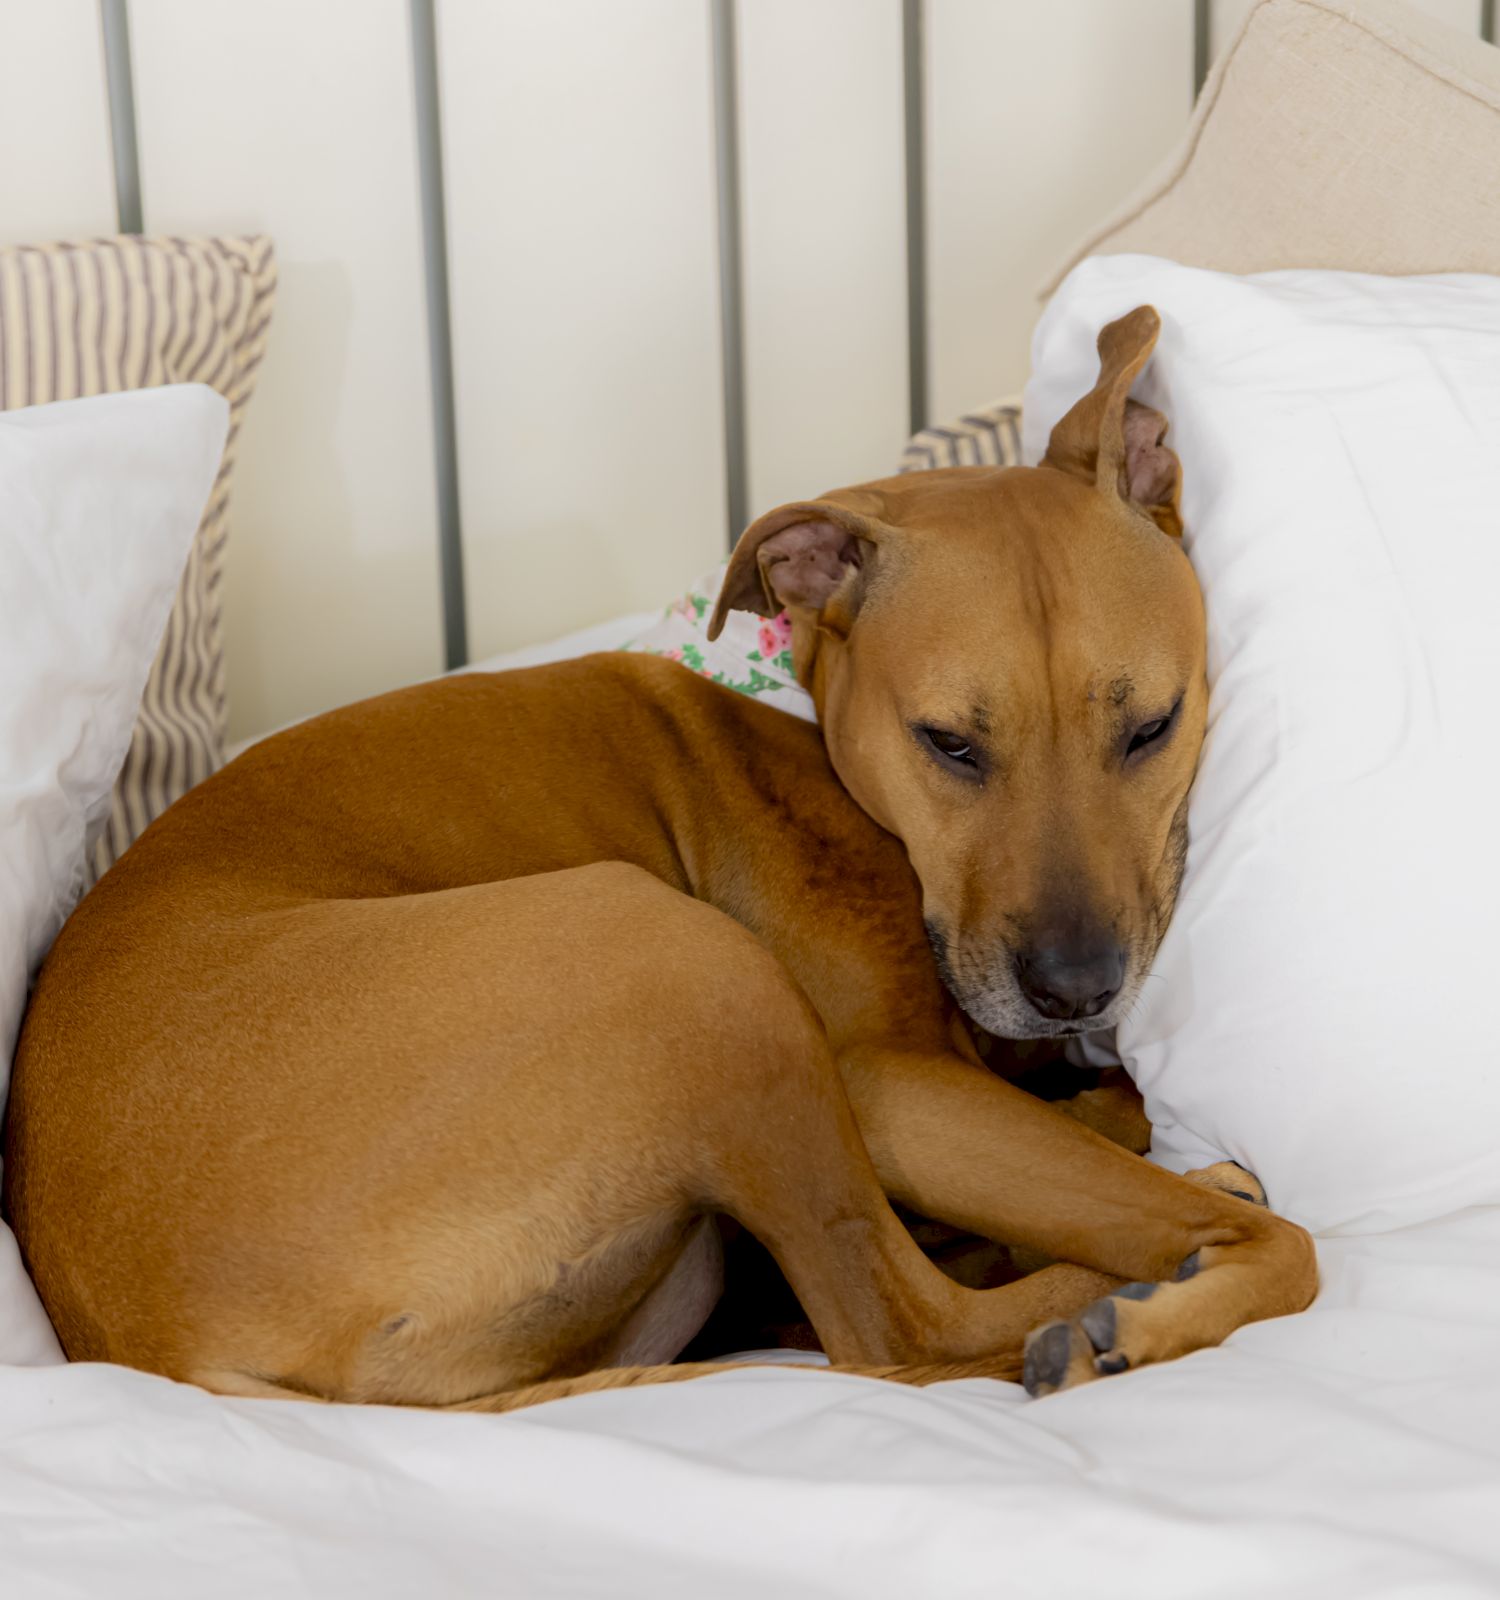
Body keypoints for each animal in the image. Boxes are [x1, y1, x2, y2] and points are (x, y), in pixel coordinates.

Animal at [0, 305, 1311, 1408]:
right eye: (948, 742)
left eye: (1151, 725)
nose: (1076, 989)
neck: (799, 700)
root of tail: (167, 1353)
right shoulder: (889, 1086)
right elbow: (1239, 1226)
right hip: (685, 964)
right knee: (903, 1324)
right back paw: (1122, 1295)